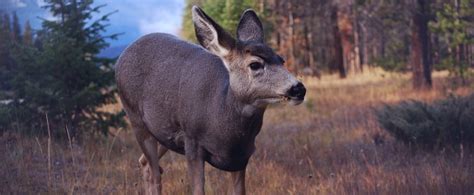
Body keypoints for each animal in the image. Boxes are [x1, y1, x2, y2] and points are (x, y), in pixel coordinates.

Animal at [115, 6, 308, 195]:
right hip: (136, 118)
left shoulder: (242, 155)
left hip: (163, 132)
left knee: (145, 163)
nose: (298, 88)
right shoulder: (192, 142)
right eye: (255, 64)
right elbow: (197, 189)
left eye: (281, 60)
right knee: (154, 172)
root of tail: (124, 54)